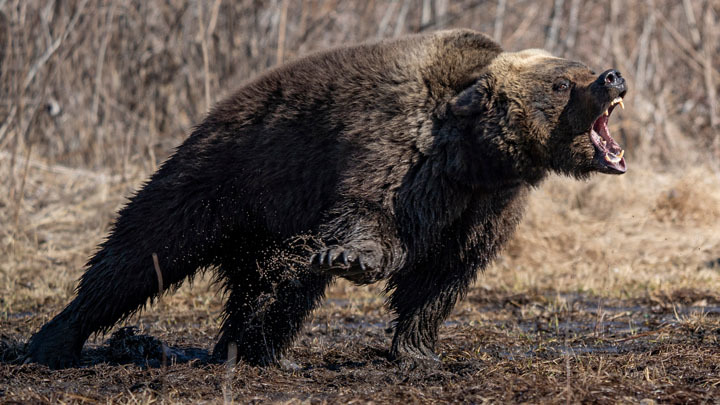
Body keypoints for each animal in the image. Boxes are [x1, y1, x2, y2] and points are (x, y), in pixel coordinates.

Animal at [25, 30, 628, 368]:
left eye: (579, 69)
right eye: (562, 83)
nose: (612, 76)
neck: (476, 155)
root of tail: (213, 113)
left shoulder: (486, 205)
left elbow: (443, 275)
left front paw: (421, 352)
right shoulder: (397, 150)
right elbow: (369, 216)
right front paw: (353, 259)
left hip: (270, 218)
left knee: (274, 283)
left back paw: (253, 350)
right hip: (223, 179)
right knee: (141, 252)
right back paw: (55, 341)